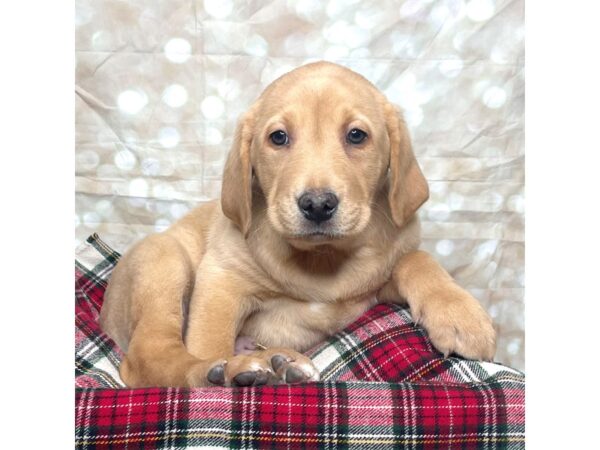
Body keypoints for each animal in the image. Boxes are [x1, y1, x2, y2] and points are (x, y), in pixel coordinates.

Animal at [101, 61, 496, 388]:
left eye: (356, 135)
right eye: (278, 137)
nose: (317, 205)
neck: (321, 258)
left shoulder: (380, 283)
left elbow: (417, 259)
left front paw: (460, 315)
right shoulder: (220, 280)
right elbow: (210, 342)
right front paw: (221, 366)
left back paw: (279, 363)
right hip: (163, 260)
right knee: (150, 357)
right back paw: (235, 371)